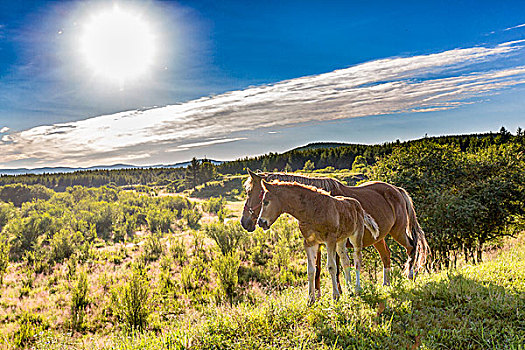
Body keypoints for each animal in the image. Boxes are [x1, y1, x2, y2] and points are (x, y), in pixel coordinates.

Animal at [242, 170, 430, 296]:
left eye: (252, 193)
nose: (245, 222)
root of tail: (397, 190)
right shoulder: (317, 243)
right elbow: (317, 269)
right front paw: (317, 296)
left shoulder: (334, 241)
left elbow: (335, 268)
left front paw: (339, 292)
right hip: (379, 238)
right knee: (386, 256)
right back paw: (386, 284)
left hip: (398, 231)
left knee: (411, 247)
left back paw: (410, 276)